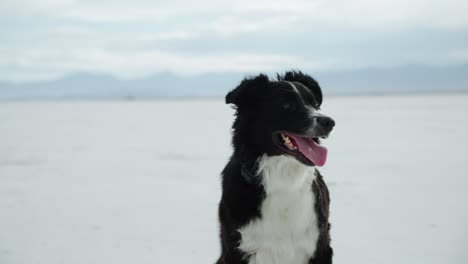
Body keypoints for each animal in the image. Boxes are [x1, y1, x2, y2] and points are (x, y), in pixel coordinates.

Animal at [218, 70, 334, 264]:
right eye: (286, 105)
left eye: (315, 104)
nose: (329, 122)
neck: (283, 182)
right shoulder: (237, 250)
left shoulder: (320, 247)